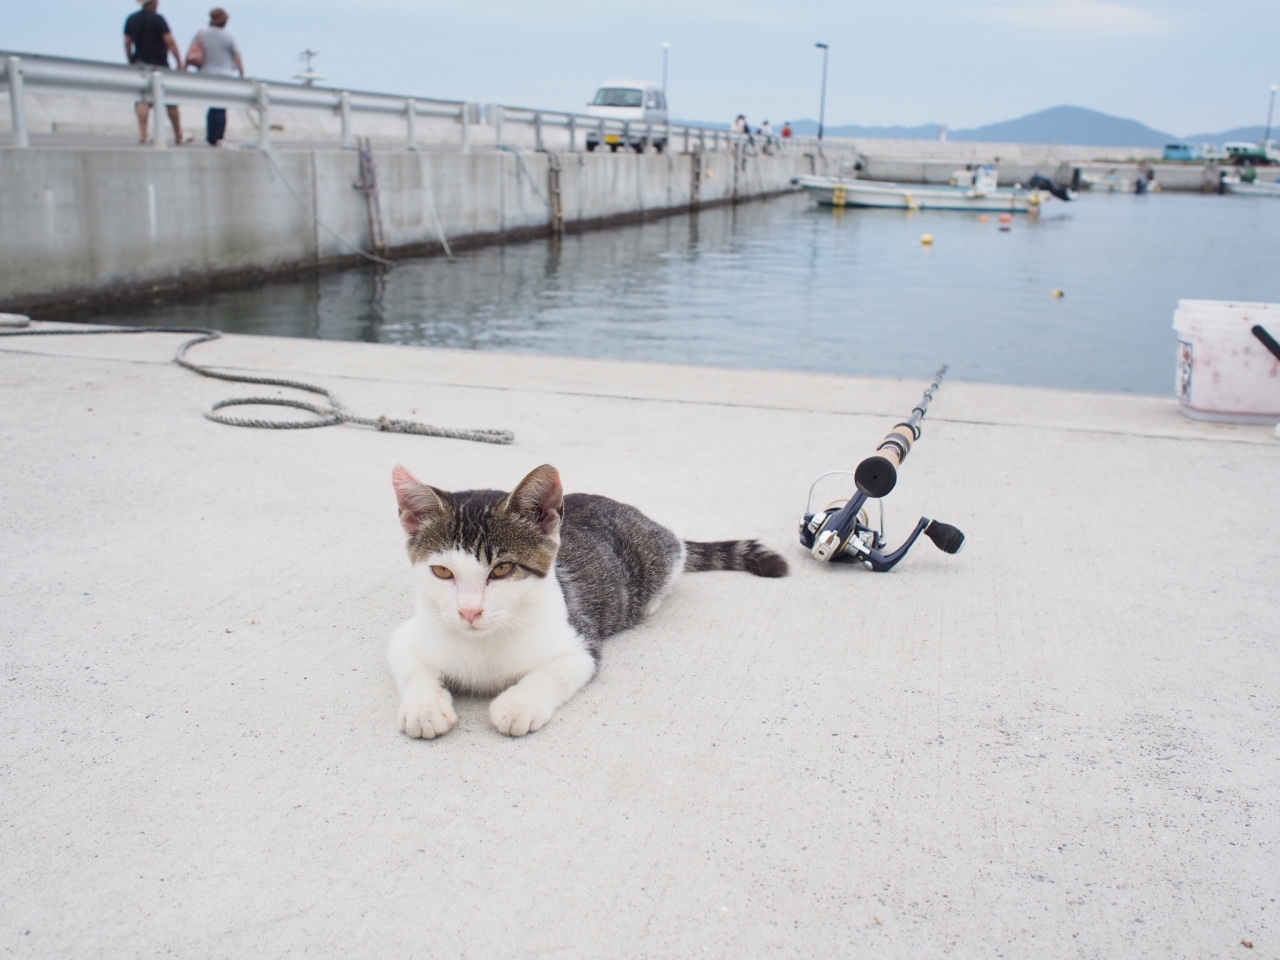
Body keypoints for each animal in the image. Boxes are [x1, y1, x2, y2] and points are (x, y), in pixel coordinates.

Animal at [386, 463, 788, 742]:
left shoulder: (580, 641)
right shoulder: (409, 633)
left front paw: (519, 704)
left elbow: (553, 672)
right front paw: (425, 707)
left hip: (653, 554)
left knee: (676, 550)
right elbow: (410, 664)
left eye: (502, 569)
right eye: (442, 571)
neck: (484, 642)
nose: (469, 611)